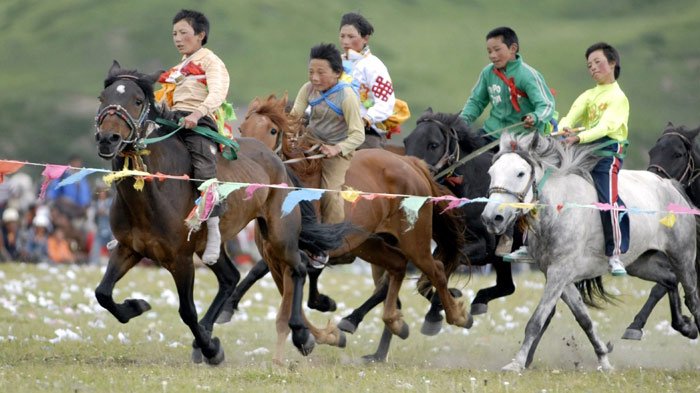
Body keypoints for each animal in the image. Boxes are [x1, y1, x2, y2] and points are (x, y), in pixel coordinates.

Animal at [91, 62, 348, 364]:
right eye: (103, 98)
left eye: (137, 101)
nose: (108, 139)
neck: (152, 194)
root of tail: (278, 162)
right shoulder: (128, 248)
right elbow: (103, 293)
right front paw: (136, 306)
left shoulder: (180, 259)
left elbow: (186, 311)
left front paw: (211, 348)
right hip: (212, 245)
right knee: (230, 278)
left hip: (279, 235)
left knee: (297, 268)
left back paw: (301, 334)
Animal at [235, 92, 470, 362]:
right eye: (241, 128)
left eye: (273, 130)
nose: (254, 162)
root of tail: (411, 163)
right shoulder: (275, 262)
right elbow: (294, 307)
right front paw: (325, 336)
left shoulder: (294, 260)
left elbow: (288, 310)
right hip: (368, 244)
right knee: (397, 266)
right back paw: (394, 322)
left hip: (415, 240)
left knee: (437, 271)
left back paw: (456, 316)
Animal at [482, 132, 700, 370]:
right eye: (491, 173)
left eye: (520, 173)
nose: (492, 218)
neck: (560, 209)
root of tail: (671, 186)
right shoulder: (559, 276)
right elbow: (584, 318)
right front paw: (604, 359)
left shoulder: (559, 272)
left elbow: (536, 320)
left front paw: (517, 363)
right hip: (640, 263)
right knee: (669, 280)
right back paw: (683, 326)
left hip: (682, 257)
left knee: (692, 298)